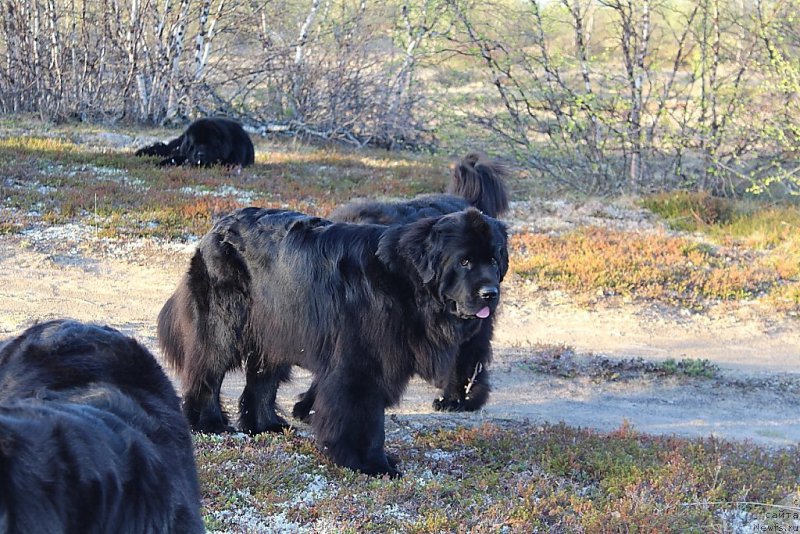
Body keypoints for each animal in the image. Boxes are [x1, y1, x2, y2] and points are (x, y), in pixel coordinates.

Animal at [156, 207, 506, 476]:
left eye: (494, 260)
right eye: (464, 262)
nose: (491, 293)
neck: (407, 283)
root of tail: (216, 228)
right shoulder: (360, 365)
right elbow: (365, 419)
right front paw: (370, 464)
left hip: (276, 329)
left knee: (261, 380)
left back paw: (265, 425)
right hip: (224, 324)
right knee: (207, 370)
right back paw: (209, 422)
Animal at [290, 151, 510, 418]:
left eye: (493, 260)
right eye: (464, 261)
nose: (490, 292)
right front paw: (309, 403)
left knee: (468, 357)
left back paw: (459, 398)